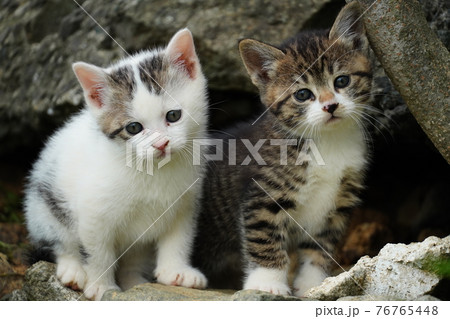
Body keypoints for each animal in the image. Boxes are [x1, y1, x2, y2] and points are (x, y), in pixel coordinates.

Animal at [26, 28, 211, 302]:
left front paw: (175, 272)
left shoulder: (185, 203)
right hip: (44, 207)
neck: (152, 171)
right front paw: (102, 286)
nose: (161, 144)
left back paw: (135, 282)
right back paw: (72, 270)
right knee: (61, 241)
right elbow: (98, 252)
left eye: (173, 116)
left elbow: (178, 238)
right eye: (133, 128)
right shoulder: (93, 214)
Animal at [193, 3, 372, 298]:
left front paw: (312, 284)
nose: (330, 106)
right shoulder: (263, 197)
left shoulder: (337, 204)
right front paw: (268, 283)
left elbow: (320, 247)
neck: (326, 141)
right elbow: (264, 239)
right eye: (302, 95)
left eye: (342, 81)